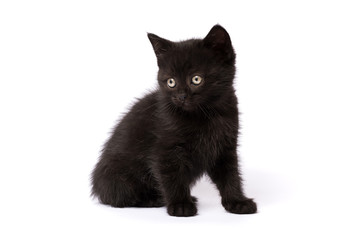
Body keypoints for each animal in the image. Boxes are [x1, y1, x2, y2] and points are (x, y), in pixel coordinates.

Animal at [91, 25, 258, 217]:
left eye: (196, 79)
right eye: (171, 82)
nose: (181, 97)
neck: (206, 115)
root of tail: (97, 186)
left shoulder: (225, 146)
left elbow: (230, 175)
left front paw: (237, 201)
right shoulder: (165, 150)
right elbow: (172, 176)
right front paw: (180, 205)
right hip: (120, 177)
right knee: (121, 197)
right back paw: (155, 199)